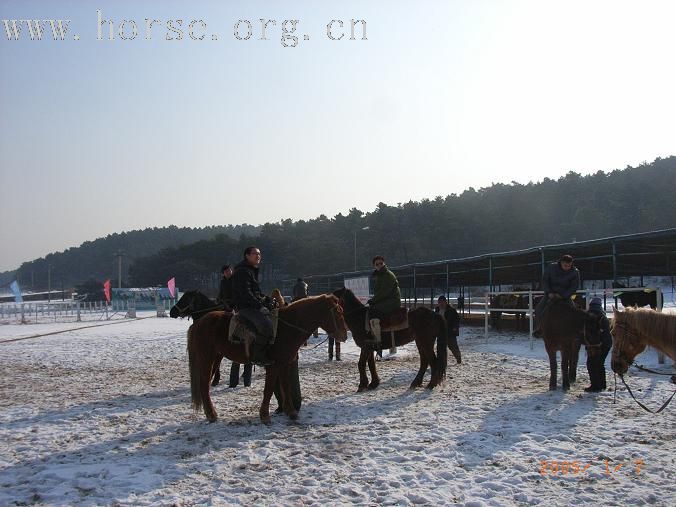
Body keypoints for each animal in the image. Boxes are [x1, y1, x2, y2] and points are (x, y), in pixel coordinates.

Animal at [174, 292, 346, 422]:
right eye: (337, 312)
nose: (344, 335)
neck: (286, 327)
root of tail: (199, 323)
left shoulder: (284, 364)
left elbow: (286, 387)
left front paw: (290, 412)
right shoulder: (274, 365)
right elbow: (268, 389)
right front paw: (264, 415)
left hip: (215, 357)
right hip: (207, 358)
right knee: (204, 384)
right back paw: (211, 414)